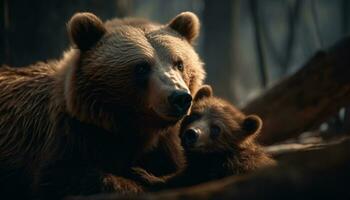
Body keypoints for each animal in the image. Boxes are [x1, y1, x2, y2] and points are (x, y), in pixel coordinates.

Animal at [0, 11, 205, 199]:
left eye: (179, 63)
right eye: (142, 67)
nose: (179, 97)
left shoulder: (165, 146)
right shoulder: (68, 139)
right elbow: (67, 178)